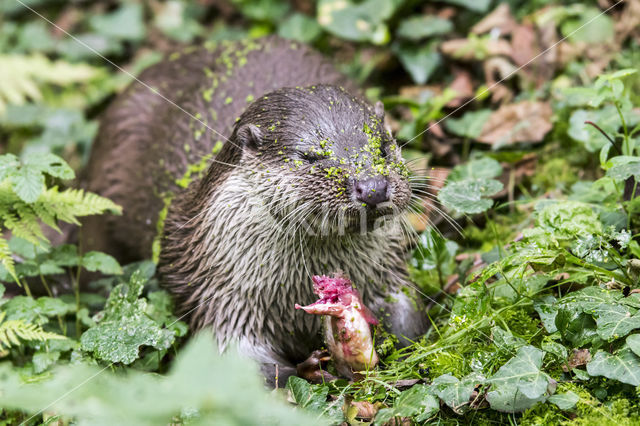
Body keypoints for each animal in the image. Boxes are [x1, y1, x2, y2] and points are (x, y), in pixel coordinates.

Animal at [82, 35, 428, 382]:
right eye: (310, 157)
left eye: (382, 147)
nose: (372, 187)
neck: (292, 290)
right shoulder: (217, 293)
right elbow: (241, 364)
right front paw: (310, 370)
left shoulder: (386, 269)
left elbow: (409, 318)